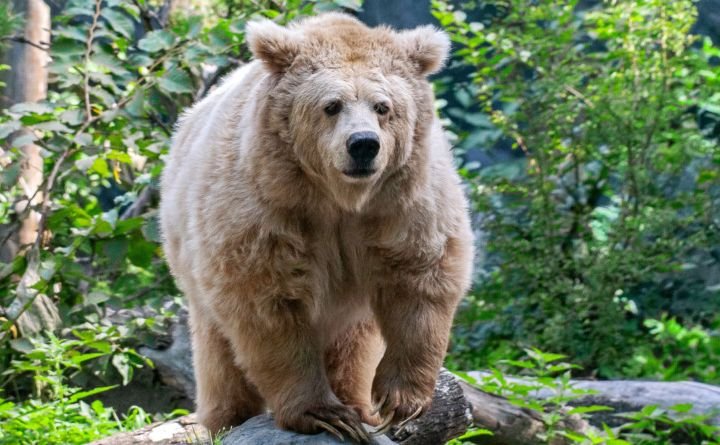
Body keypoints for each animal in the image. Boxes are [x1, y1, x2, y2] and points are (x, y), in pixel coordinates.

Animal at [159, 12, 472, 442]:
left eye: (383, 106)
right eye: (331, 105)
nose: (363, 144)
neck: (339, 199)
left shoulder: (403, 204)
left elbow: (421, 278)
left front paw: (398, 401)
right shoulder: (264, 207)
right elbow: (267, 302)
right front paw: (321, 412)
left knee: (353, 347)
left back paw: (358, 405)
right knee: (218, 354)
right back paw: (228, 416)